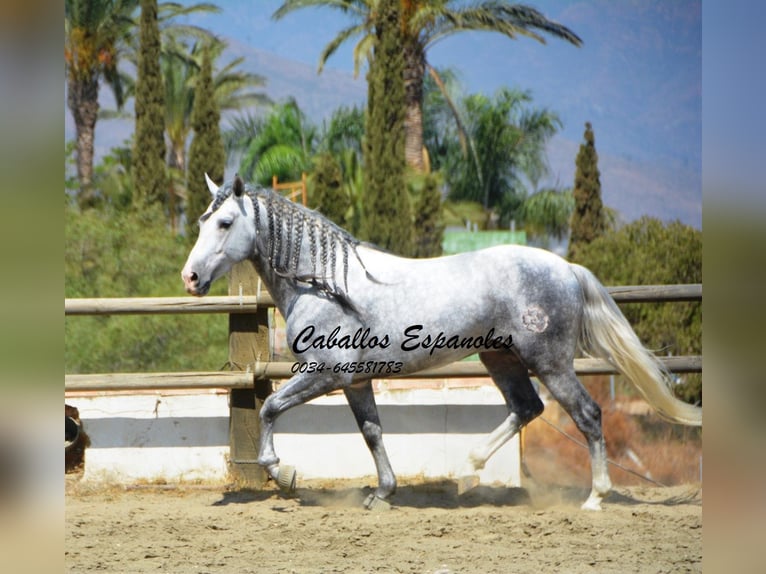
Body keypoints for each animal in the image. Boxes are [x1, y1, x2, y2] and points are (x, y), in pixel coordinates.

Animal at [183, 176, 704, 512]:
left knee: (587, 414)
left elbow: (271, 410)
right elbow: (371, 432)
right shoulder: (355, 382)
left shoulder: (325, 374)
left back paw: (595, 497)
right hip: (501, 359)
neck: (326, 284)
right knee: (527, 408)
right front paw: (382, 493)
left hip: (550, 362)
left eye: (225, 223)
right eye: (201, 222)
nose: (190, 278)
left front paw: (285, 475)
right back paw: (469, 471)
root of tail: (566, 267)